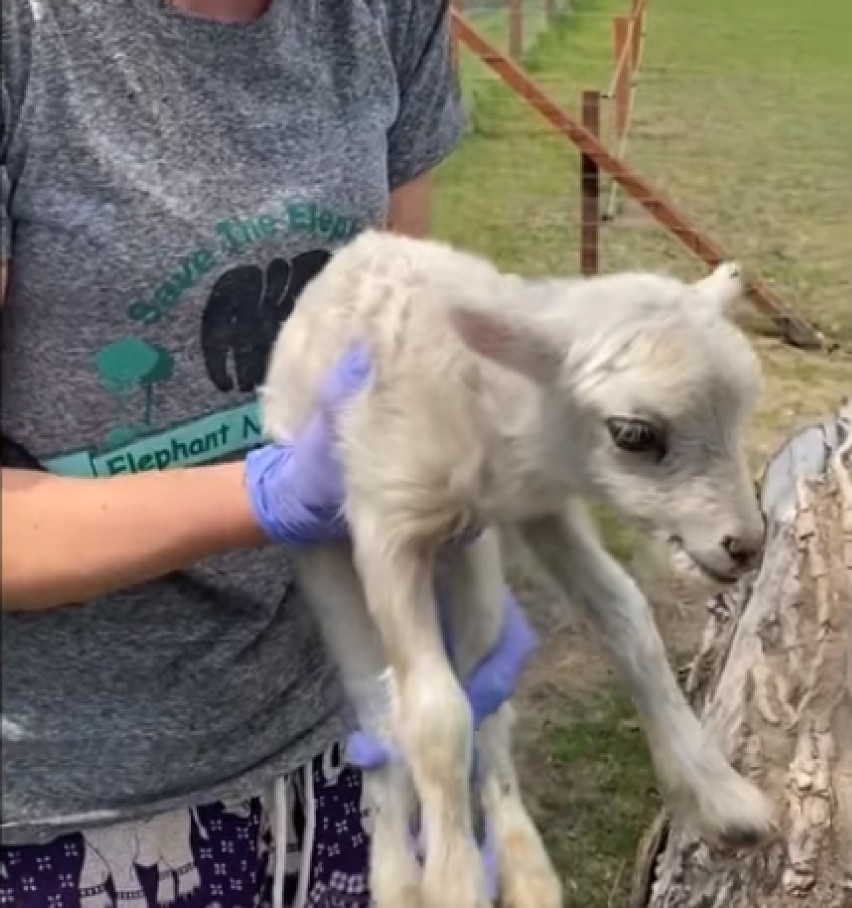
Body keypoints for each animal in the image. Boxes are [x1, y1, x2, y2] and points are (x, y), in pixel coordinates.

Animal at [262, 232, 780, 908]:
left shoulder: (541, 510)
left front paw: (721, 797)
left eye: (742, 412)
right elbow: (432, 715)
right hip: (330, 565)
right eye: (634, 434)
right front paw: (452, 884)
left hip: (473, 566)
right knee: (382, 716)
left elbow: (629, 618)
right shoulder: (385, 523)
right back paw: (400, 877)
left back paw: (524, 868)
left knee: (488, 709)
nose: (745, 546)